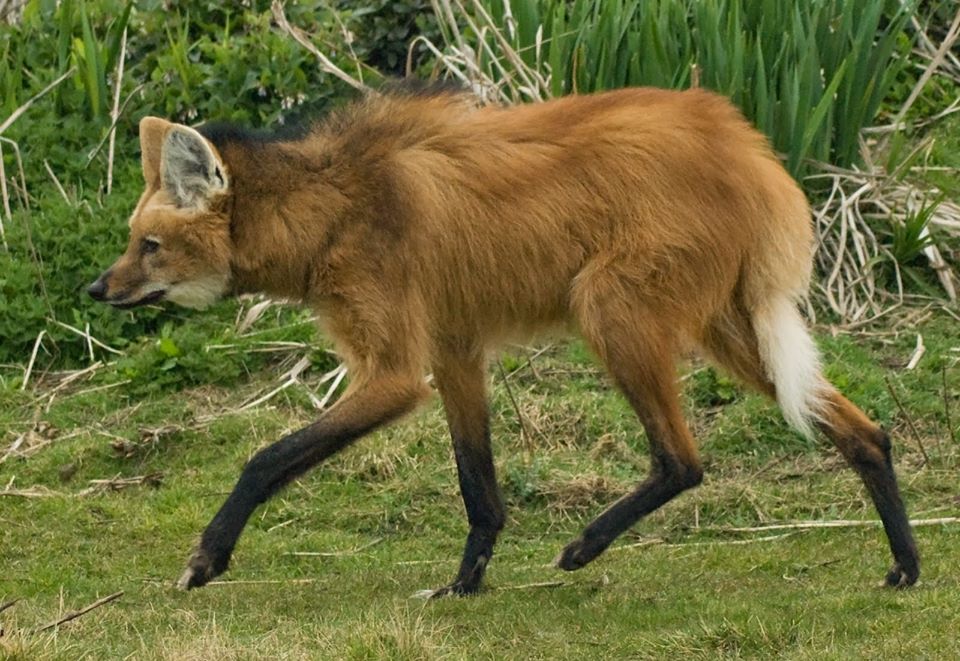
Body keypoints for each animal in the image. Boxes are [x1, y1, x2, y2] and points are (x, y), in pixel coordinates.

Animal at [92, 81, 924, 592]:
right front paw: (463, 585)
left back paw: (583, 545)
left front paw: (206, 557)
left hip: (609, 304)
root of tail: (746, 143)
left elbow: (266, 457)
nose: (96, 289)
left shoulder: (396, 372)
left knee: (683, 460)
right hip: (725, 325)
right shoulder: (454, 348)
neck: (330, 211)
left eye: (149, 246)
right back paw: (906, 566)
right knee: (863, 431)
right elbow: (478, 485)